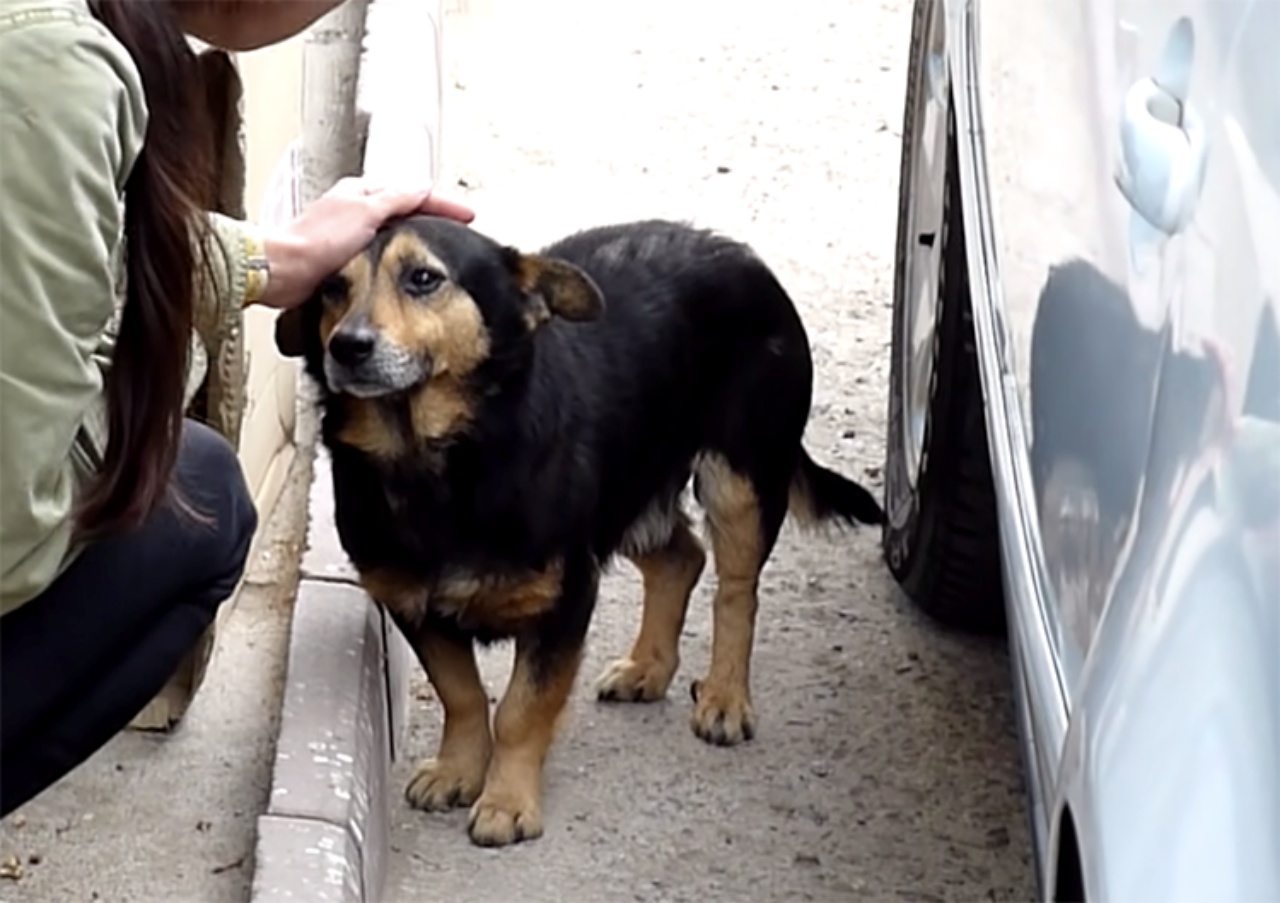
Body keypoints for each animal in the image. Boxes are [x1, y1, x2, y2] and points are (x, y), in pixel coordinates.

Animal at [275, 212, 885, 845]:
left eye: (423, 278)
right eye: (331, 288)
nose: (347, 346)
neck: (436, 460)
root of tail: (739, 253)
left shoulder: (565, 599)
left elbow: (520, 711)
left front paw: (507, 801)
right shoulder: (414, 605)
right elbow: (462, 696)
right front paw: (459, 769)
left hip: (738, 479)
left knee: (736, 592)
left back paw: (724, 697)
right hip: (627, 487)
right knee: (681, 557)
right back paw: (648, 668)